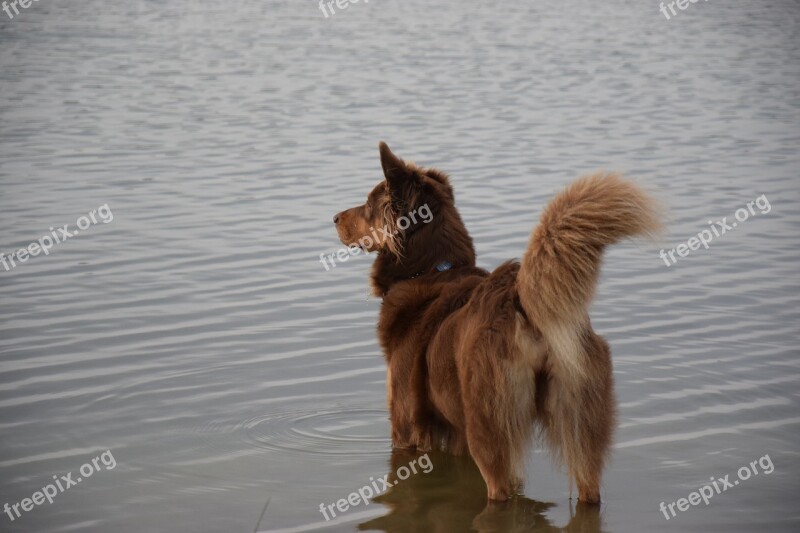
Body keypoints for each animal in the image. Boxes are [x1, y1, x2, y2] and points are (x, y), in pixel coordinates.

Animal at [334, 142, 660, 502]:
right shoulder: (456, 435)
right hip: (580, 427)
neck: (433, 270)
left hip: (491, 434)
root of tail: (520, 301)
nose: (334, 218)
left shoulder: (405, 428)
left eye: (368, 204)